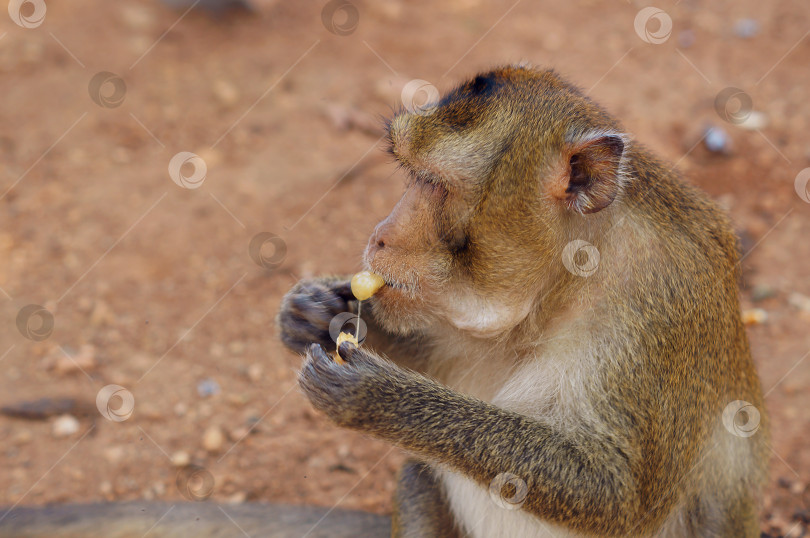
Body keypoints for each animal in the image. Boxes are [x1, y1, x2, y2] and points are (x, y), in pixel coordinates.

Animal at [276, 65, 764, 532]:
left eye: (435, 184)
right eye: (412, 177)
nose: (380, 236)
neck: (569, 282)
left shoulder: (659, 313)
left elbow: (618, 497)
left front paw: (382, 398)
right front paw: (318, 311)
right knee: (417, 480)